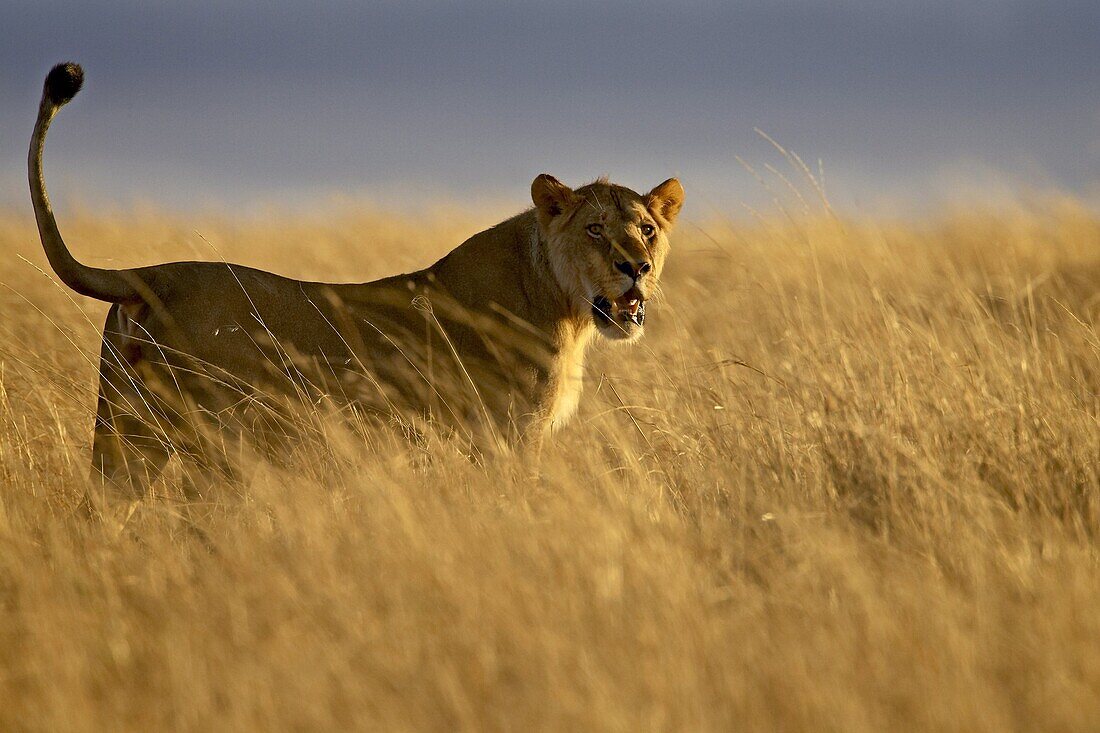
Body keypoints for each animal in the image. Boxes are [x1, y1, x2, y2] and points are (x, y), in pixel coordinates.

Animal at [30, 64, 682, 497]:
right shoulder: (506, 437)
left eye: (647, 230)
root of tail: (148, 276)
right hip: (194, 442)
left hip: (120, 437)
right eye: (595, 230)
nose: (637, 269)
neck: (560, 301)